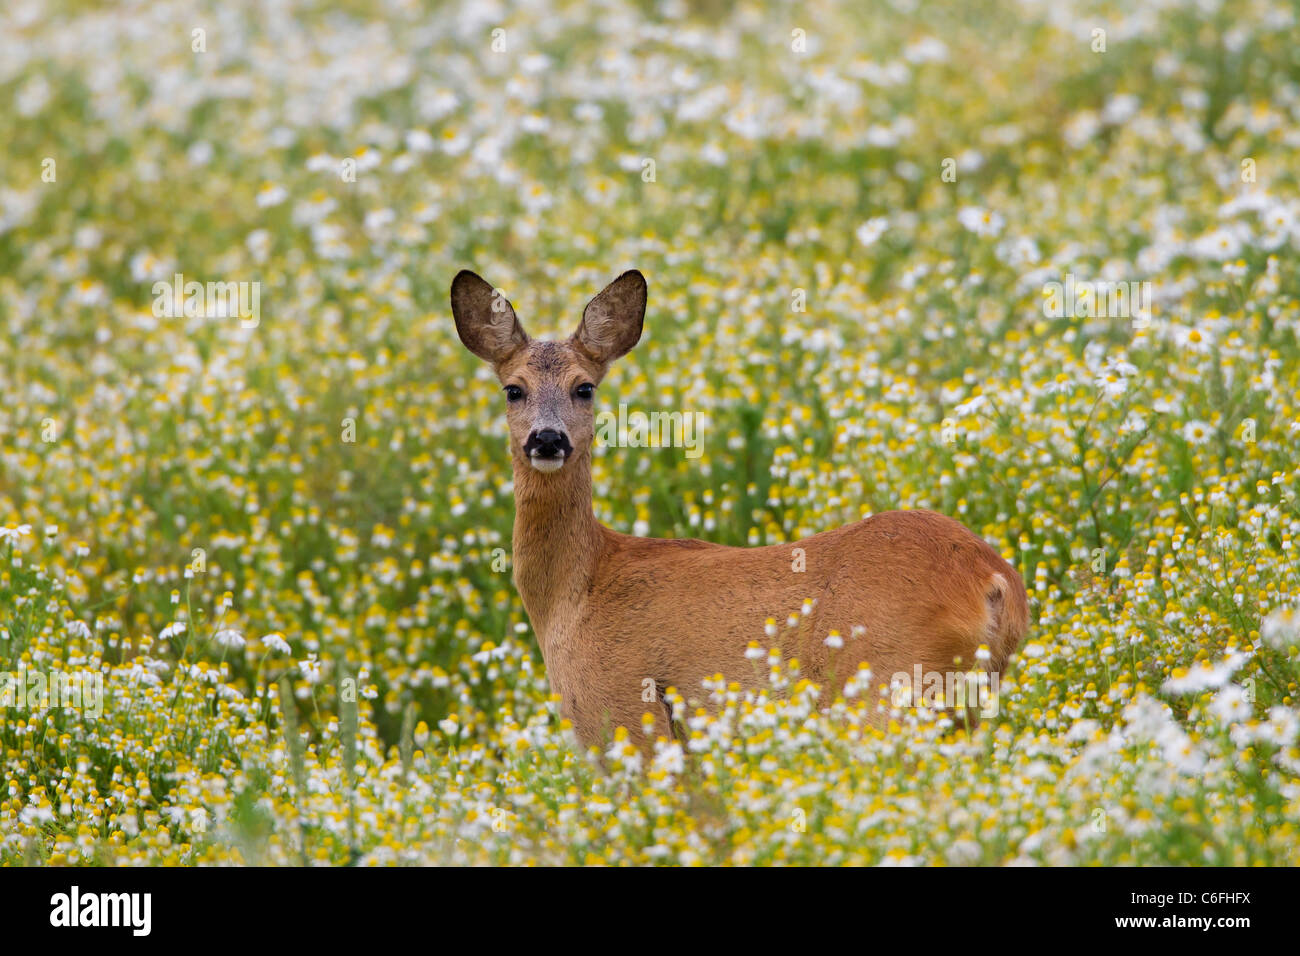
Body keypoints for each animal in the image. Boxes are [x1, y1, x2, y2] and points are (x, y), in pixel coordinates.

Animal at [450, 269, 1029, 753]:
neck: (576, 590)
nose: (548, 440)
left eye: (584, 387)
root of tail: (995, 580)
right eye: (513, 389)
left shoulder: (621, 717)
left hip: (886, 686)